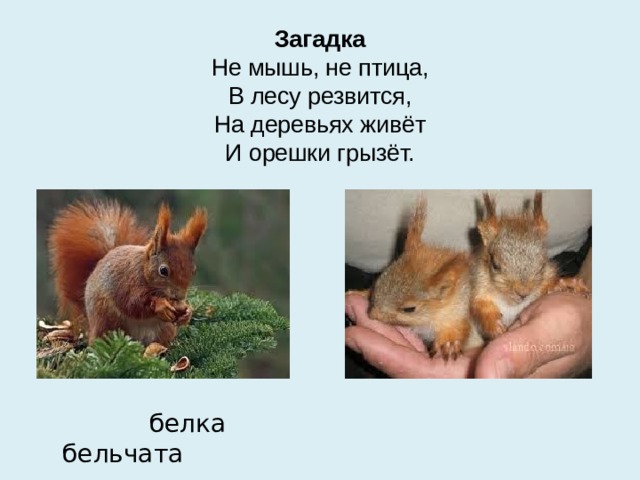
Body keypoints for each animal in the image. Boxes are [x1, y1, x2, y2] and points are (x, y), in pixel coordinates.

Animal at [48, 199, 207, 348]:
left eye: (193, 270)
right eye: (163, 270)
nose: (179, 296)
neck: (143, 271)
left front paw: (187, 312)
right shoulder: (126, 281)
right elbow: (133, 303)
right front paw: (161, 305)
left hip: (165, 330)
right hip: (106, 322)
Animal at [366, 199, 483, 360]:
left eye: (409, 309)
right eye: (378, 282)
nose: (372, 315)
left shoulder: (459, 312)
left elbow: (457, 329)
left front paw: (448, 344)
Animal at [470, 191, 590, 339]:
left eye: (542, 265)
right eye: (495, 265)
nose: (523, 293)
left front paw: (567, 284)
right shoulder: (479, 287)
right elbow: (480, 306)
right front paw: (494, 326)